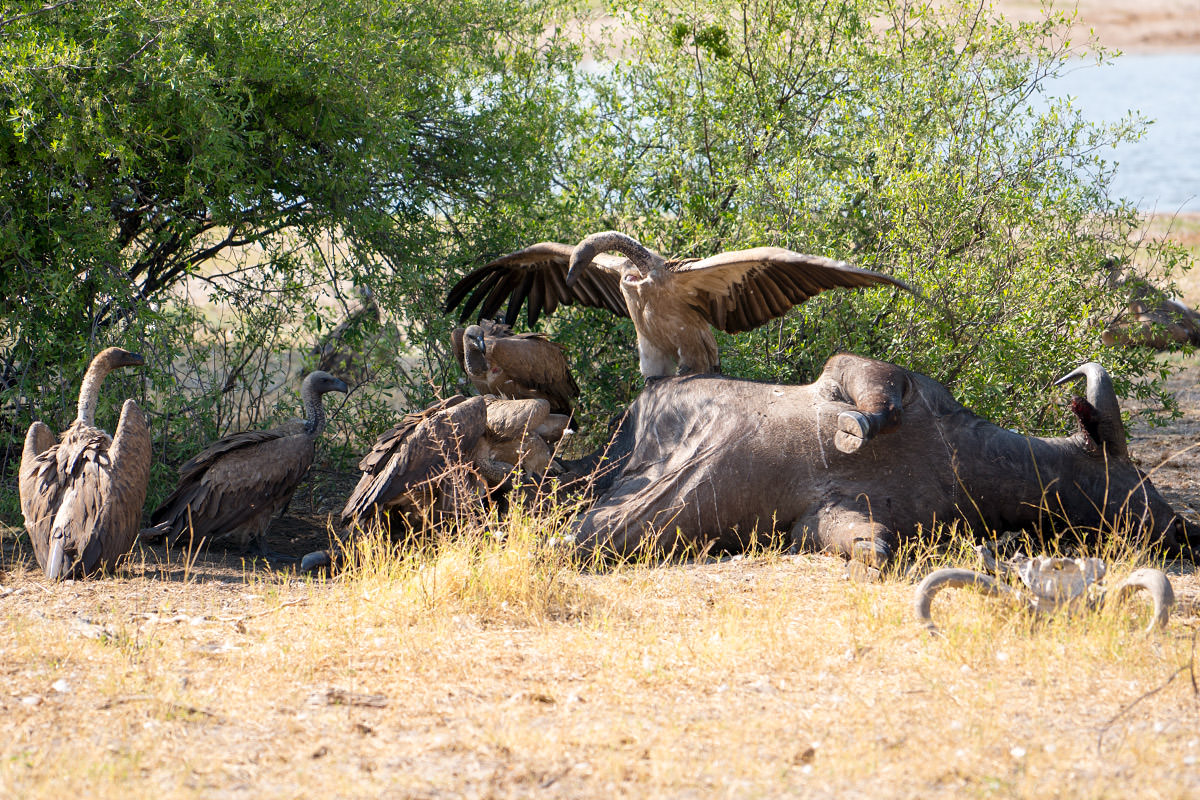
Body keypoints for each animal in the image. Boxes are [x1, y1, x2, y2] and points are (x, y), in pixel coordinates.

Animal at [568, 352, 1190, 566]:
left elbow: (877, 548)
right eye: (1136, 473)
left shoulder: (824, 520)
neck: (962, 462)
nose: (1188, 530)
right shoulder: (868, 375)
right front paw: (856, 428)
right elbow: (873, 406)